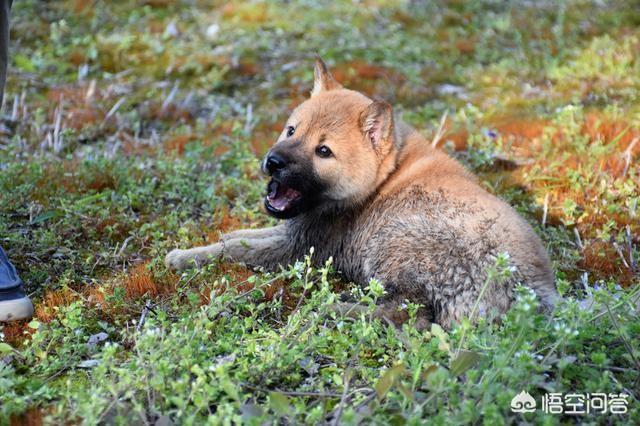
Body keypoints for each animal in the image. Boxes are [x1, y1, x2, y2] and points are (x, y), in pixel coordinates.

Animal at [165, 58, 556, 328]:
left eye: (324, 151)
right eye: (291, 130)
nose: (272, 162)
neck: (381, 181)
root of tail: (532, 296)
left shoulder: (299, 249)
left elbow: (232, 249)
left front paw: (182, 257)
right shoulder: (291, 233)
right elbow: (236, 237)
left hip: (393, 241)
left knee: (407, 315)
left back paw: (330, 309)